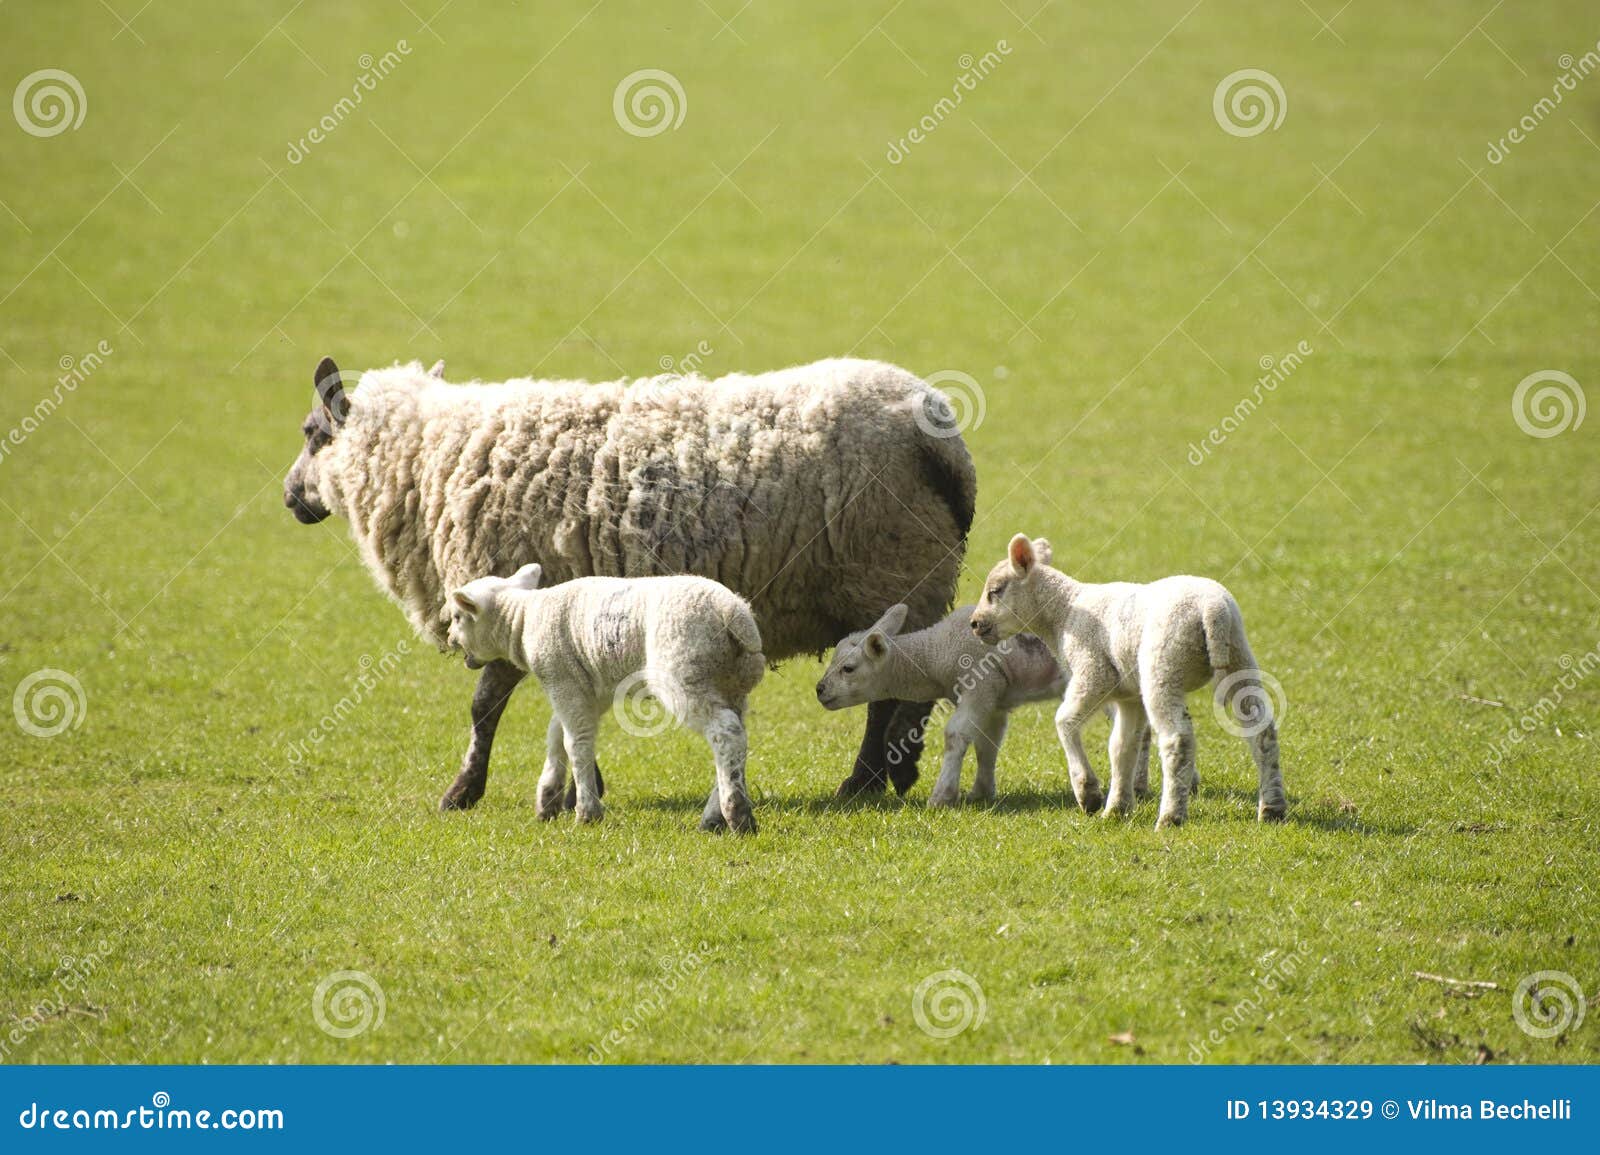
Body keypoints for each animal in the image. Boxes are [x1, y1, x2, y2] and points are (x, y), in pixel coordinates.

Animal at [444, 556, 768, 825]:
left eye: (458, 617)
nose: (448, 639)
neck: (524, 620)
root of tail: (735, 616)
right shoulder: (588, 689)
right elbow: (556, 735)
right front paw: (547, 801)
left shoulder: (562, 679)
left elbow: (576, 743)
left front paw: (587, 813)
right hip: (731, 683)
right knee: (734, 738)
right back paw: (715, 816)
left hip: (685, 673)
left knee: (725, 732)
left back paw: (738, 816)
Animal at [819, 601, 1158, 799]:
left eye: (849, 668)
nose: (819, 690)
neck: (935, 652)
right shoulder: (995, 697)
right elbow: (987, 745)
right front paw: (981, 793)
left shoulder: (980, 686)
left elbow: (956, 736)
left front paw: (943, 796)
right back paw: (1144, 786)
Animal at [960, 534, 1286, 825]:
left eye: (995, 590)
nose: (974, 624)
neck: (1064, 612)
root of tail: (1212, 609)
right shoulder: (1129, 696)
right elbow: (1121, 746)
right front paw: (1117, 809)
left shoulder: (1094, 672)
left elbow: (1064, 721)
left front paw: (1089, 795)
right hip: (1238, 657)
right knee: (1261, 731)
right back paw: (1272, 808)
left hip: (1162, 667)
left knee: (1177, 740)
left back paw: (1171, 817)